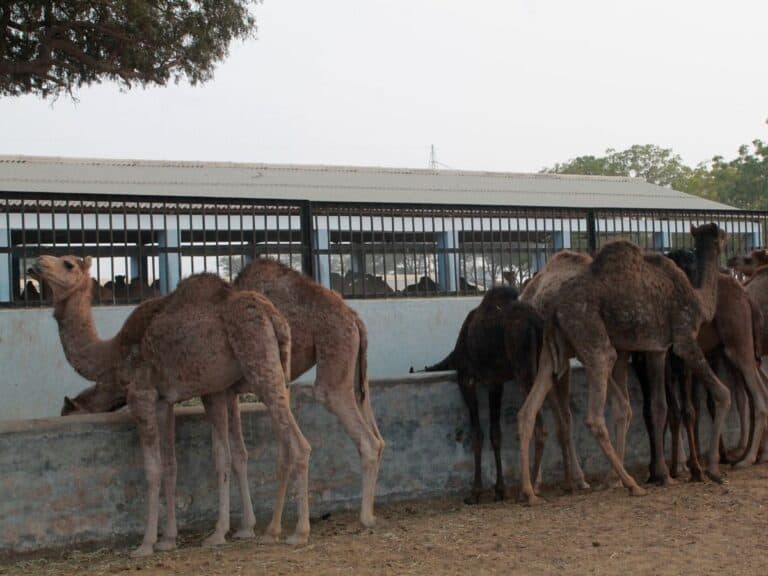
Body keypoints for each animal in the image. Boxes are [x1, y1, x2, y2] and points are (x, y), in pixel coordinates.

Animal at [34, 255, 311, 557]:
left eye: (68, 264)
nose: (37, 263)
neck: (112, 353)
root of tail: (273, 315)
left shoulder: (141, 395)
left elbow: (153, 468)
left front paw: (146, 543)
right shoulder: (164, 401)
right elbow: (172, 464)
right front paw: (168, 538)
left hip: (258, 363)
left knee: (299, 445)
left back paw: (296, 532)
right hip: (274, 371)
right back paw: (271, 529)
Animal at [516, 223, 732, 505]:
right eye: (721, 235)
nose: (728, 242)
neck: (699, 300)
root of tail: (547, 303)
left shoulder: (652, 347)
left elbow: (637, 407)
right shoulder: (682, 339)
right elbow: (721, 394)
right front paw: (712, 470)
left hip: (555, 349)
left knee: (528, 411)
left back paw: (531, 492)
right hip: (591, 337)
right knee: (593, 415)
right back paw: (629, 483)